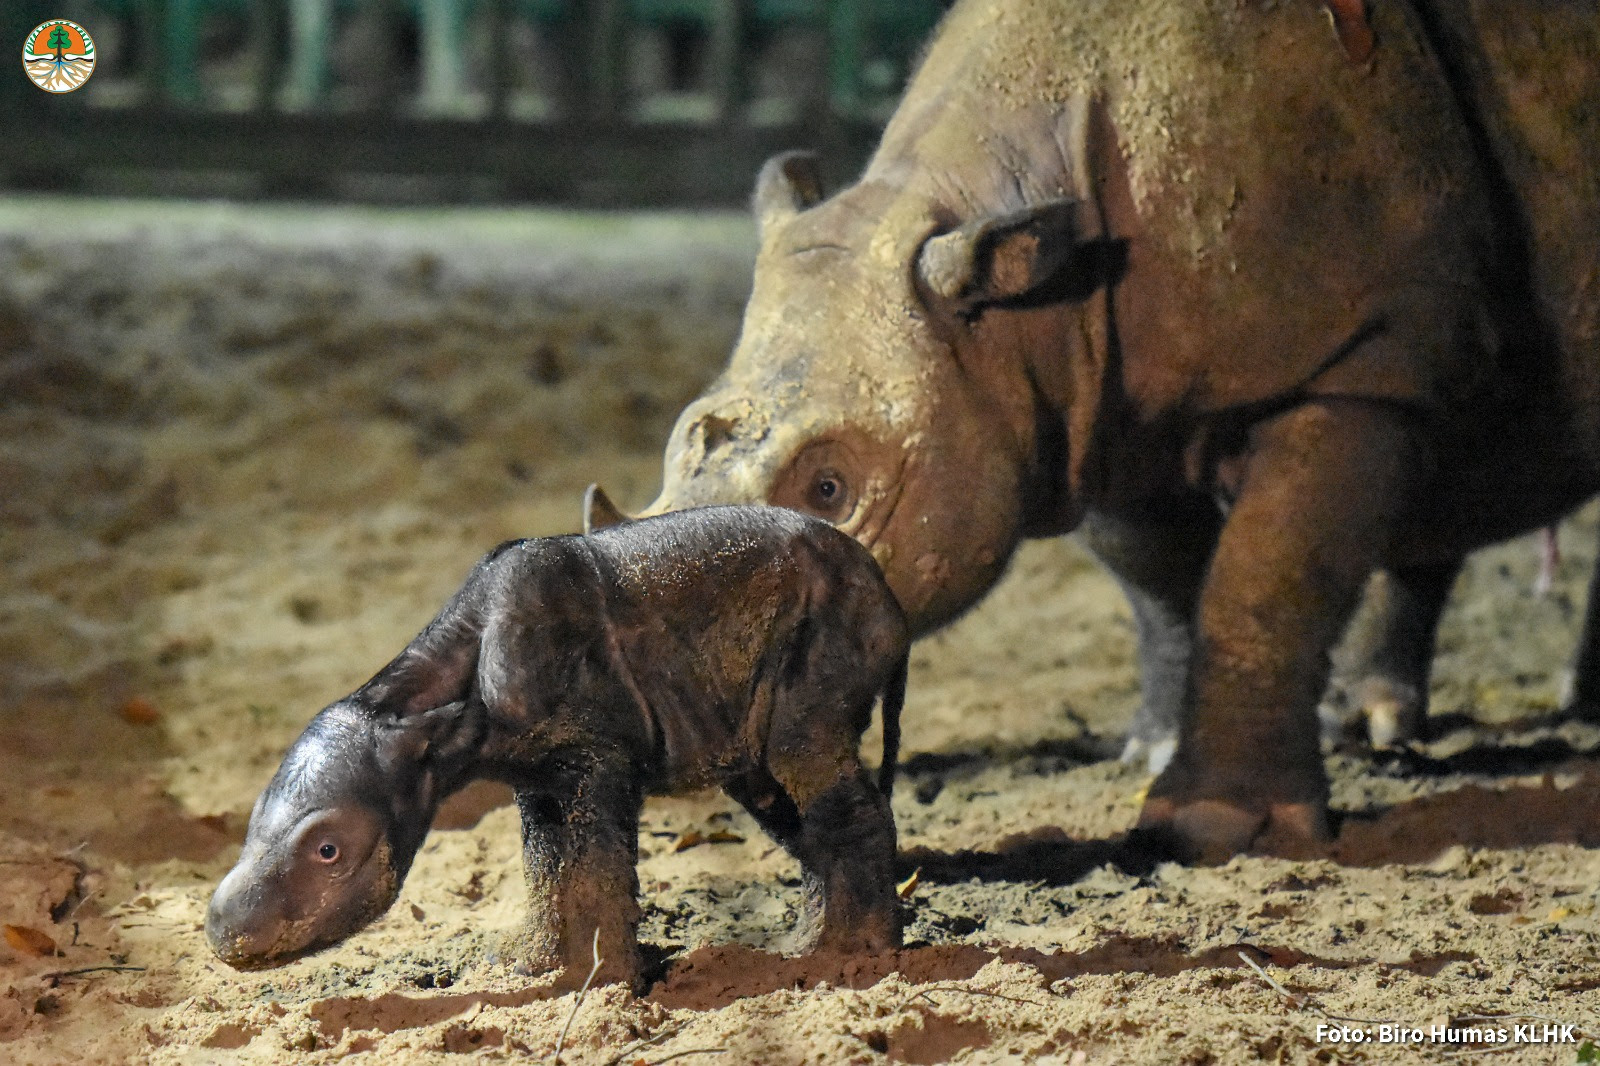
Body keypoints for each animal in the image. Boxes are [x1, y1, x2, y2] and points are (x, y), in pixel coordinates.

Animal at [204, 502, 908, 985]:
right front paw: (532, 966)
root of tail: (887, 592)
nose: (220, 930)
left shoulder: (597, 755)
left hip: (831, 622)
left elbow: (596, 864)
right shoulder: (536, 773)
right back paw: (810, 948)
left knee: (804, 753)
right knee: (774, 793)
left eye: (328, 851)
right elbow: (545, 866)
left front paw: (606, 984)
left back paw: (847, 957)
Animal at [588, 0, 1600, 857]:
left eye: (829, 488)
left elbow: (1267, 575)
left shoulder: (1353, 358)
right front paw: (1149, 750)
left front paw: (1210, 828)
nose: (673, 714)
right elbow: (1158, 582)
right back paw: (1384, 723)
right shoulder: (1093, 400)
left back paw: (1574, 712)